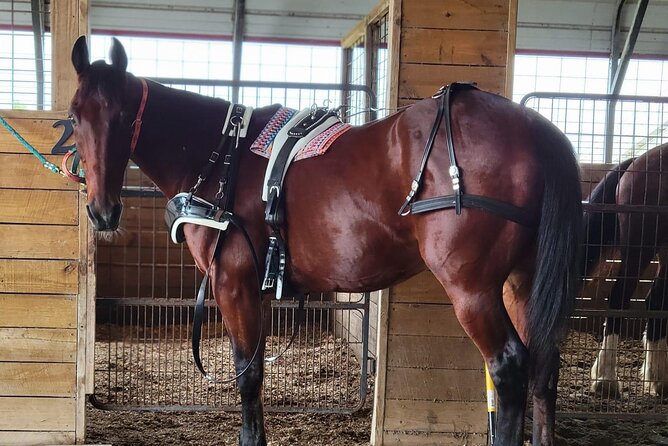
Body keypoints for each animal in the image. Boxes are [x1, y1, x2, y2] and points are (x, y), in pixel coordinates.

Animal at [69, 36, 581, 446]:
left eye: (123, 115)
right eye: (75, 116)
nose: (102, 211)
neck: (221, 158)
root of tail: (536, 130)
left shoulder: (232, 284)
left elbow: (247, 375)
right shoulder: (257, 289)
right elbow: (256, 369)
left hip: (473, 290)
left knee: (509, 367)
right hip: (520, 283)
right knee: (543, 368)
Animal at [586, 143, 668, 397]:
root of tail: (639, 160)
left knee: (656, 302)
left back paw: (658, 378)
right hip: (639, 249)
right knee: (619, 298)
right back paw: (607, 379)